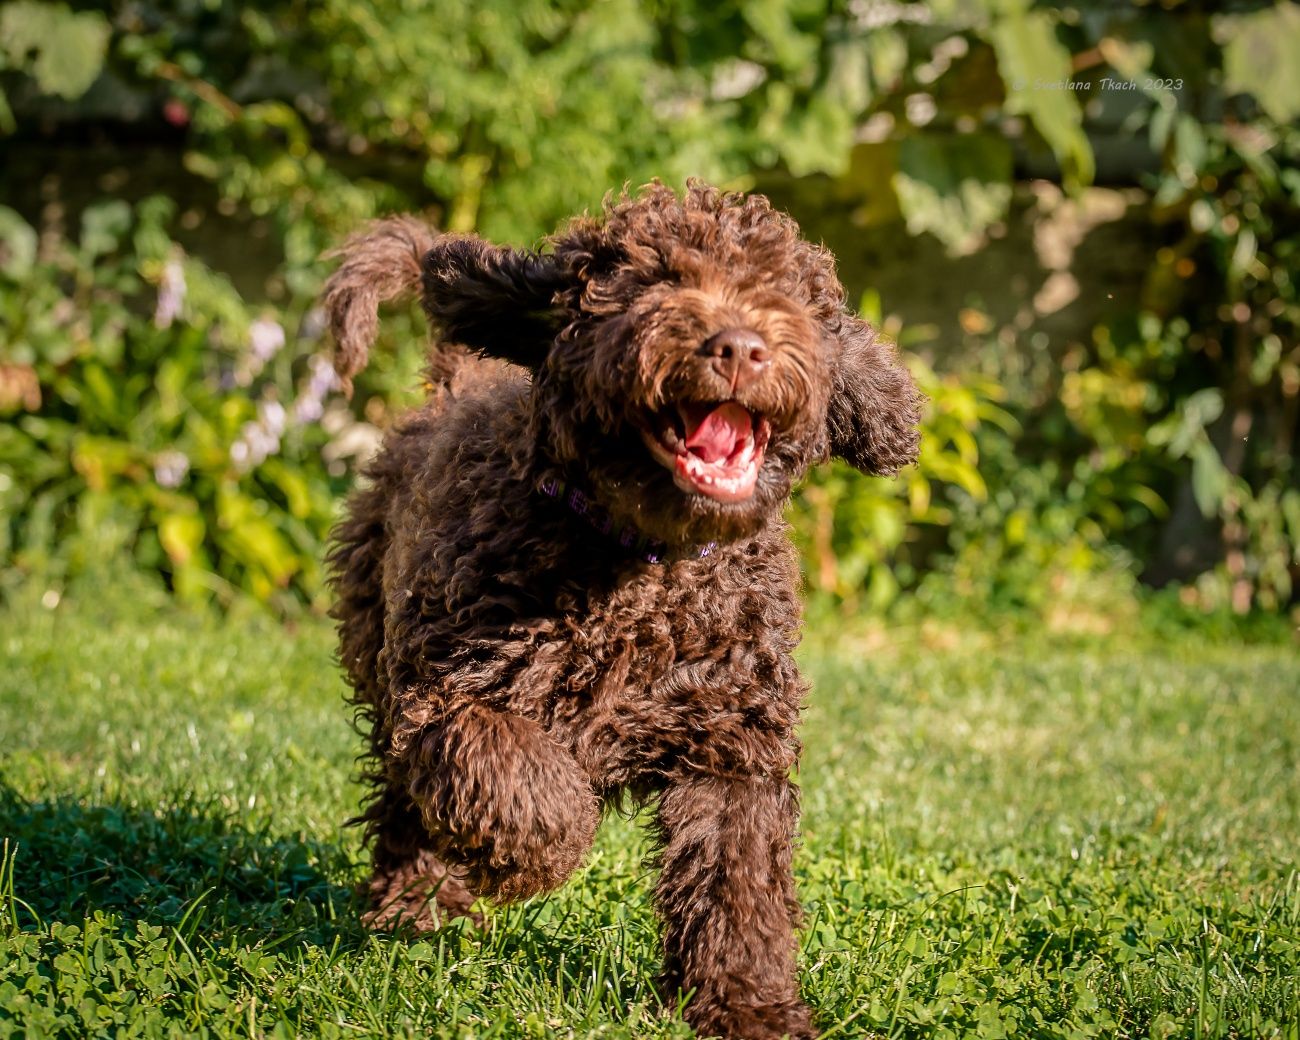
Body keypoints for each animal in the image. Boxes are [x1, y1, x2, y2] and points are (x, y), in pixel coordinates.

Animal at [321, 184, 920, 1040]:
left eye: (782, 293)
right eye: (649, 283)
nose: (739, 347)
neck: (646, 563)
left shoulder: (731, 746)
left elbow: (738, 887)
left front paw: (749, 1006)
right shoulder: (448, 694)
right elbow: (523, 778)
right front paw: (535, 856)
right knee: (406, 804)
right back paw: (416, 906)